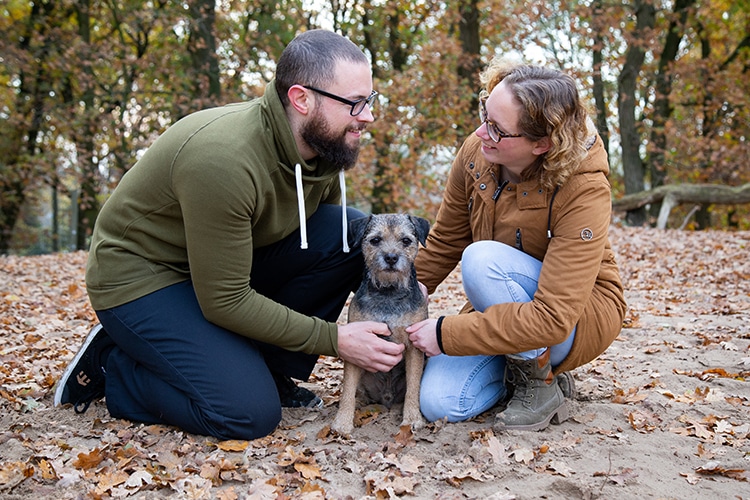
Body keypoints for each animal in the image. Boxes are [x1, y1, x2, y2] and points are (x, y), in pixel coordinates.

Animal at [334, 213, 432, 436]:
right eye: (376, 240)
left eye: (406, 240)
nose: (391, 257)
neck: (389, 292)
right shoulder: (357, 345)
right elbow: (348, 387)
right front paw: (342, 422)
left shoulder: (414, 346)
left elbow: (414, 386)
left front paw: (412, 419)